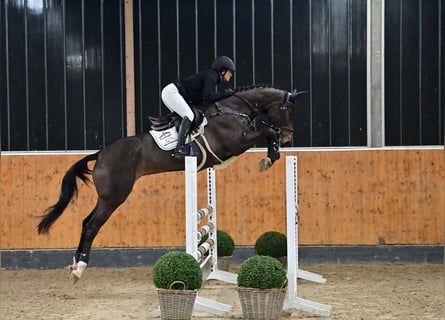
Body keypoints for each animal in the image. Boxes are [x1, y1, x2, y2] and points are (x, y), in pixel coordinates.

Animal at [37, 85, 306, 282]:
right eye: (288, 112)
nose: (289, 139)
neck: (234, 109)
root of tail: (101, 154)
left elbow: (266, 133)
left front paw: (272, 154)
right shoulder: (235, 143)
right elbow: (267, 132)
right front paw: (269, 157)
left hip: (108, 197)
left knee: (85, 223)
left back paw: (74, 265)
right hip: (114, 196)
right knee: (92, 225)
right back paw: (80, 267)